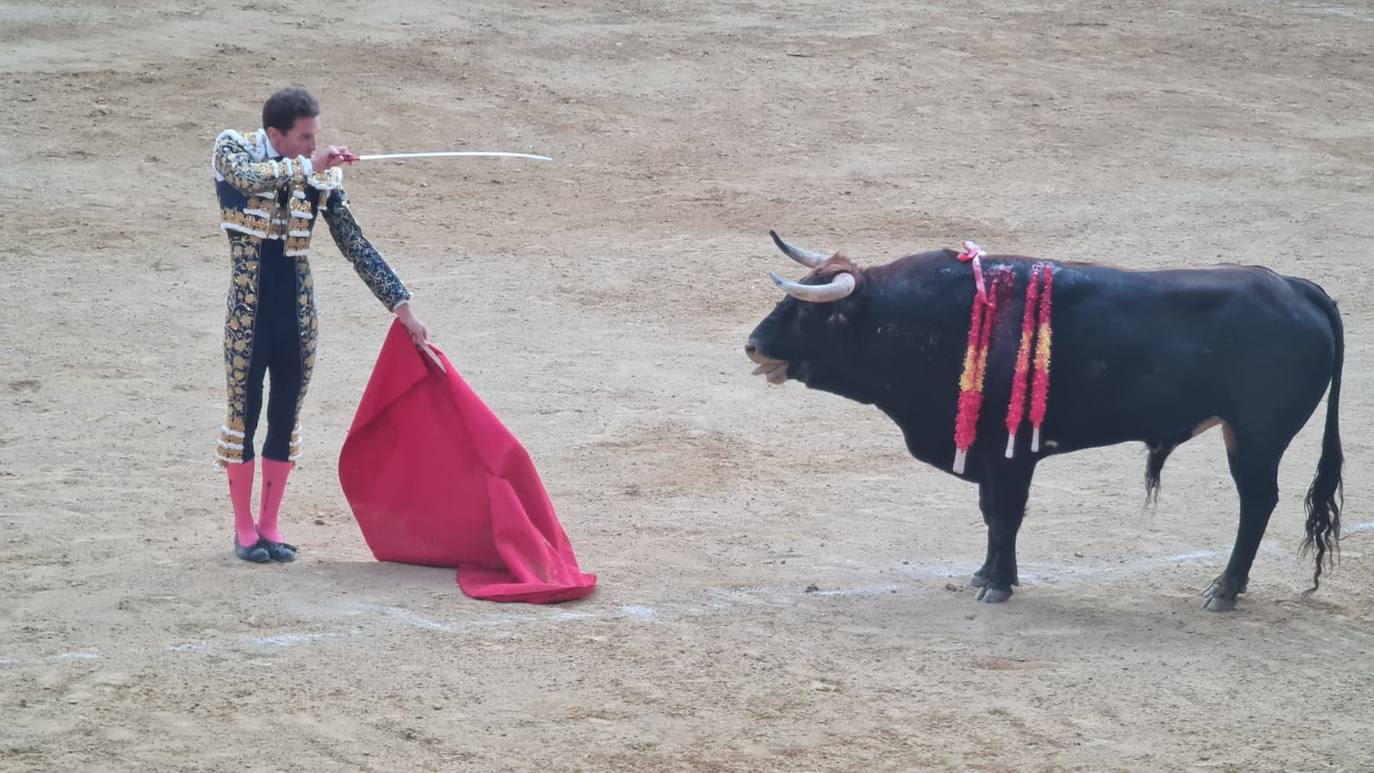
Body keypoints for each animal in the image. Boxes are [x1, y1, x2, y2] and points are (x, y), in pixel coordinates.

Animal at [741, 229, 1341, 612]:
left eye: (809, 310)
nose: (752, 345)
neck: (921, 318)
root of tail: (1296, 287)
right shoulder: (990, 456)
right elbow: (991, 515)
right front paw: (987, 574)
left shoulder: (1010, 454)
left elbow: (1004, 515)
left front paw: (998, 586)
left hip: (1257, 437)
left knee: (1256, 503)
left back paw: (1224, 591)